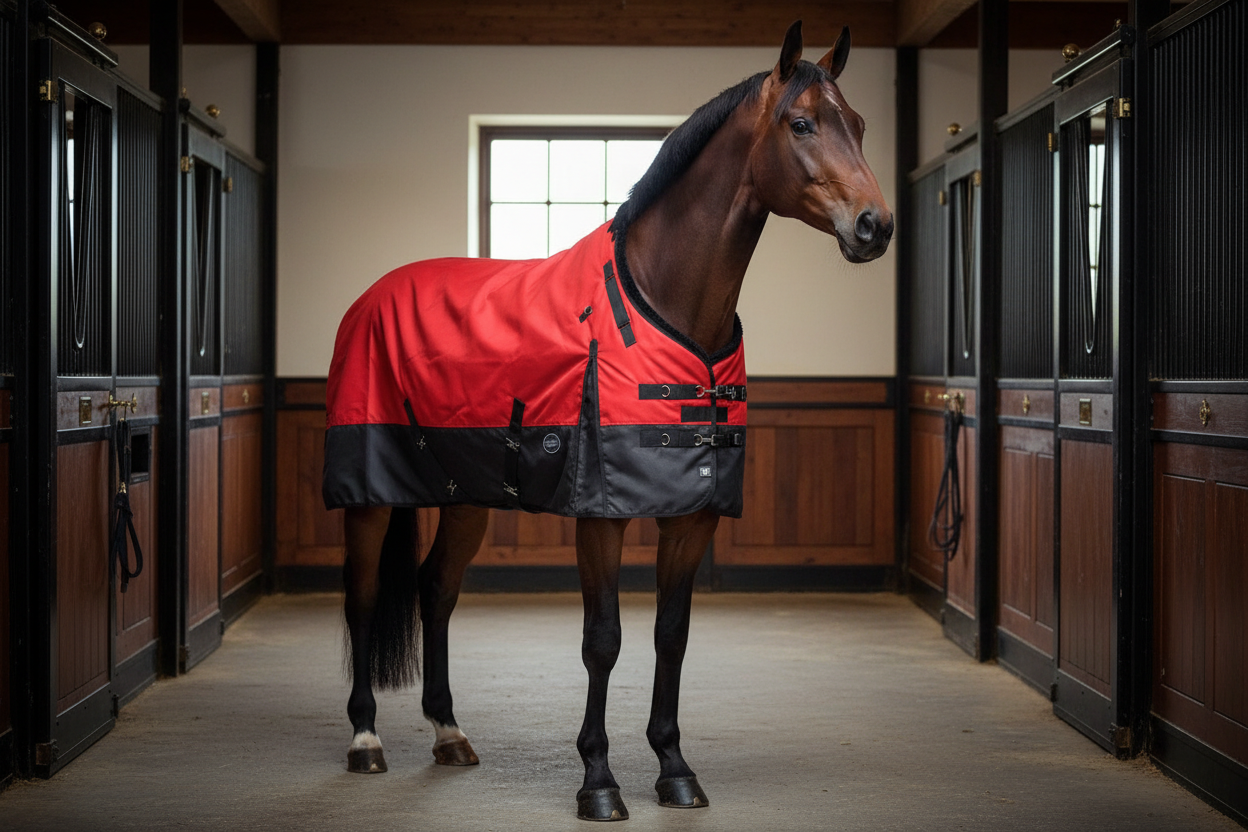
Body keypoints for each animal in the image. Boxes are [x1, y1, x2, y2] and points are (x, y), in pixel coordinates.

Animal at [324, 20, 892, 821]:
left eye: (861, 125)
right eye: (802, 123)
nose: (875, 226)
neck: (665, 300)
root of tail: (371, 296)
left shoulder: (692, 516)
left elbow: (670, 636)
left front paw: (674, 768)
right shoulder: (602, 515)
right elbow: (604, 639)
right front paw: (599, 780)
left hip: (466, 495)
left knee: (436, 590)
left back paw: (448, 732)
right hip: (369, 496)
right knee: (363, 597)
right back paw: (365, 739)